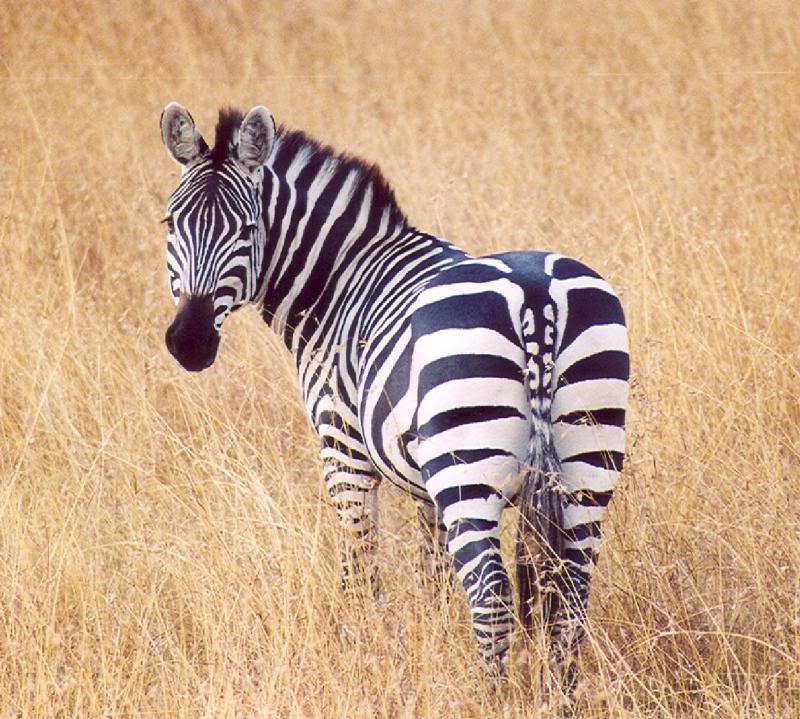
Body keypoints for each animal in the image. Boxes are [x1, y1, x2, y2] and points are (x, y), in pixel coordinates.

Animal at [159, 103, 630, 697]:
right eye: (170, 224)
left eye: (246, 230)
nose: (190, 343)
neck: (340, 282)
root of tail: (536, 299)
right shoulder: (426, 485)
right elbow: (432, 576)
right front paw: (430, 640)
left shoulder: (344, 452)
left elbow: (360, 569)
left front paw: (358, 650)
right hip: (586, 457)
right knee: (568, 593)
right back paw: (558, 696)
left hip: (468, 467)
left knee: (493, 595)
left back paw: (492, 697)